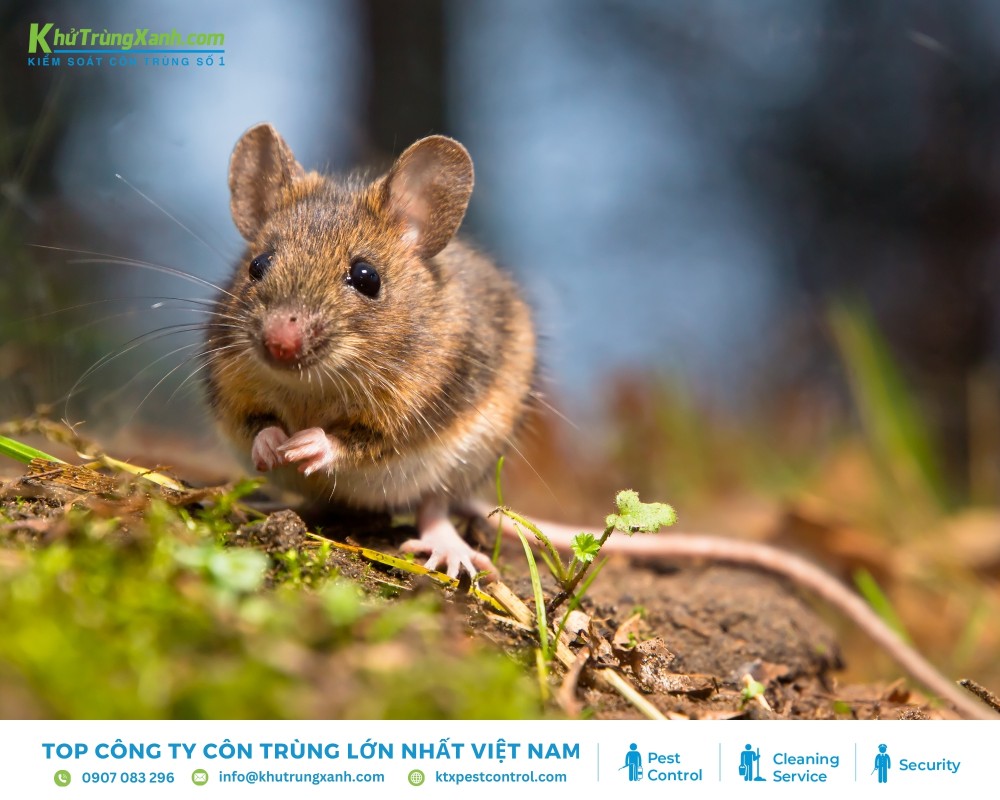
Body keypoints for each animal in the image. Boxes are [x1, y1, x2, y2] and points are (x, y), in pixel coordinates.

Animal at [205, 123, 536, 579]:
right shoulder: (232, 386)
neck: (311, 385)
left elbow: (356, 442)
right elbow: (254, 424)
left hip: (463, 459)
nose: (279, 344)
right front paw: (273, 445)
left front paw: (307, 444)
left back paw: (449, 549)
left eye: (367, 277)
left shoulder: (404, 413)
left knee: (433, 505)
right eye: (258, 265)